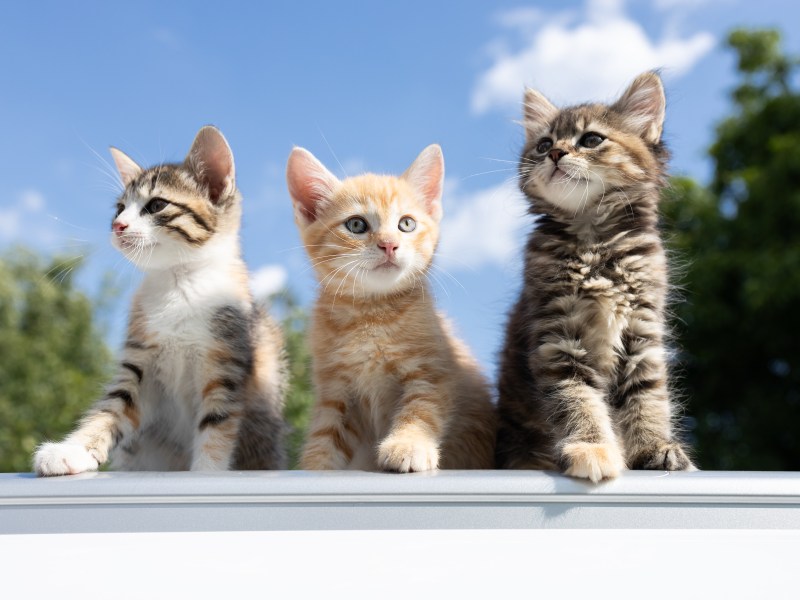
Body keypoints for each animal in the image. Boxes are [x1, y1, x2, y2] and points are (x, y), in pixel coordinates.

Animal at [36, 125, 290, 474]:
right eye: (120, 208)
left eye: (156, 205)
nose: (117, 226)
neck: (177, 283)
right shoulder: (139, 361)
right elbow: (112, 407)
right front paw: (72, 449)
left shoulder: (226, 361)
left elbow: (217, 424)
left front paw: (206, 472)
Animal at [284, 145, 496, 474]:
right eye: (356, 225)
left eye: (406, 224)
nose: (389, 245)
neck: (371, 313)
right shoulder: (336, 390)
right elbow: (325, 433)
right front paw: (314, 465)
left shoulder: (432, 371)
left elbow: (421, 409)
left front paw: (408, 445)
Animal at [496, 72, 696, 482]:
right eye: (543, 144)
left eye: (591, 140)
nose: (556, 154)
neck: (594, 244)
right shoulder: (558, 339)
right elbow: (577, 399)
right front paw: (592, 447)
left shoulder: (642, 334)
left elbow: (648, 398)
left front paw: (654, 447)